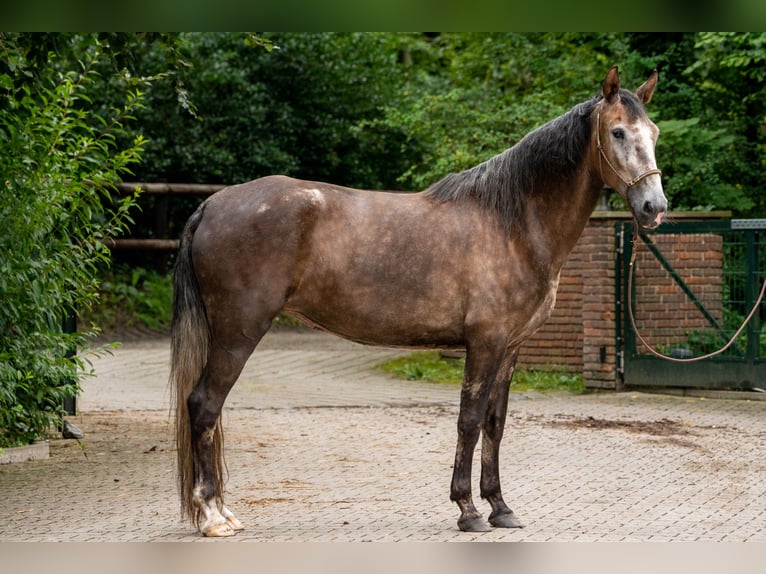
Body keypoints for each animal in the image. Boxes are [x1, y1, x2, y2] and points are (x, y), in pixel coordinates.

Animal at [168, 67, 664, 540]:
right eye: (618, 132)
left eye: (654, 132)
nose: (653, 207)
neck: (513, 224)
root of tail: (212, 205)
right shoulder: (483, 344)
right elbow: (468, 421)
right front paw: (468, 511)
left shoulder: (510, 347)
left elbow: (495, 423)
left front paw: (500, 508)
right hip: (238, 333)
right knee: (204, 406)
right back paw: (213, 517)